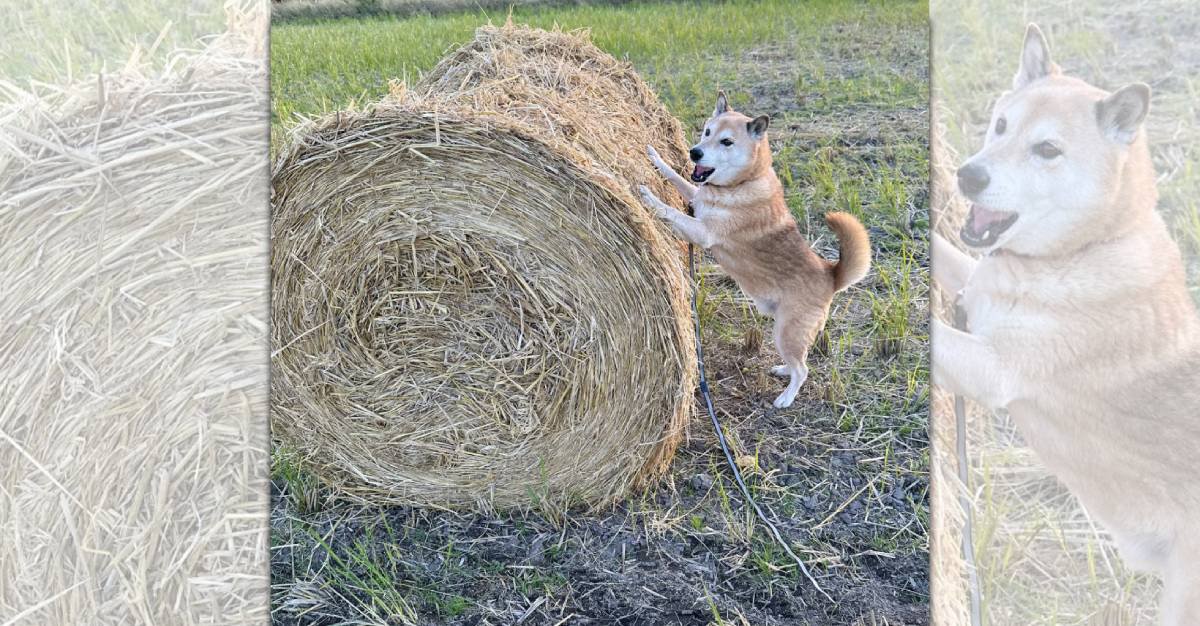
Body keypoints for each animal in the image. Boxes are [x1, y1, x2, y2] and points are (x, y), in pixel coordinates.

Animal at [638, 89, 873, 407]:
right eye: (707, 131)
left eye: (726, 142)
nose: (694, 152)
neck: (741, 183)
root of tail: (832, 275)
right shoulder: (696, 197)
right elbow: (674, 176)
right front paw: (654, 157)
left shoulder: (702, 231)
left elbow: (670, 211)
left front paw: (648, 195)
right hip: (783, 330)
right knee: (799, 361)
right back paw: (783, 369)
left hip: (787, 331)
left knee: (804, 369)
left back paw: (786, 398)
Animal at [931, 23, 1200, 618]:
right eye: (1001, 124)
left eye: (1047, 150)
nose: (967, 175)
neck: (1085, 249)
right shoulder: (974, 288)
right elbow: (944, 253)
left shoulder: (993, 369)